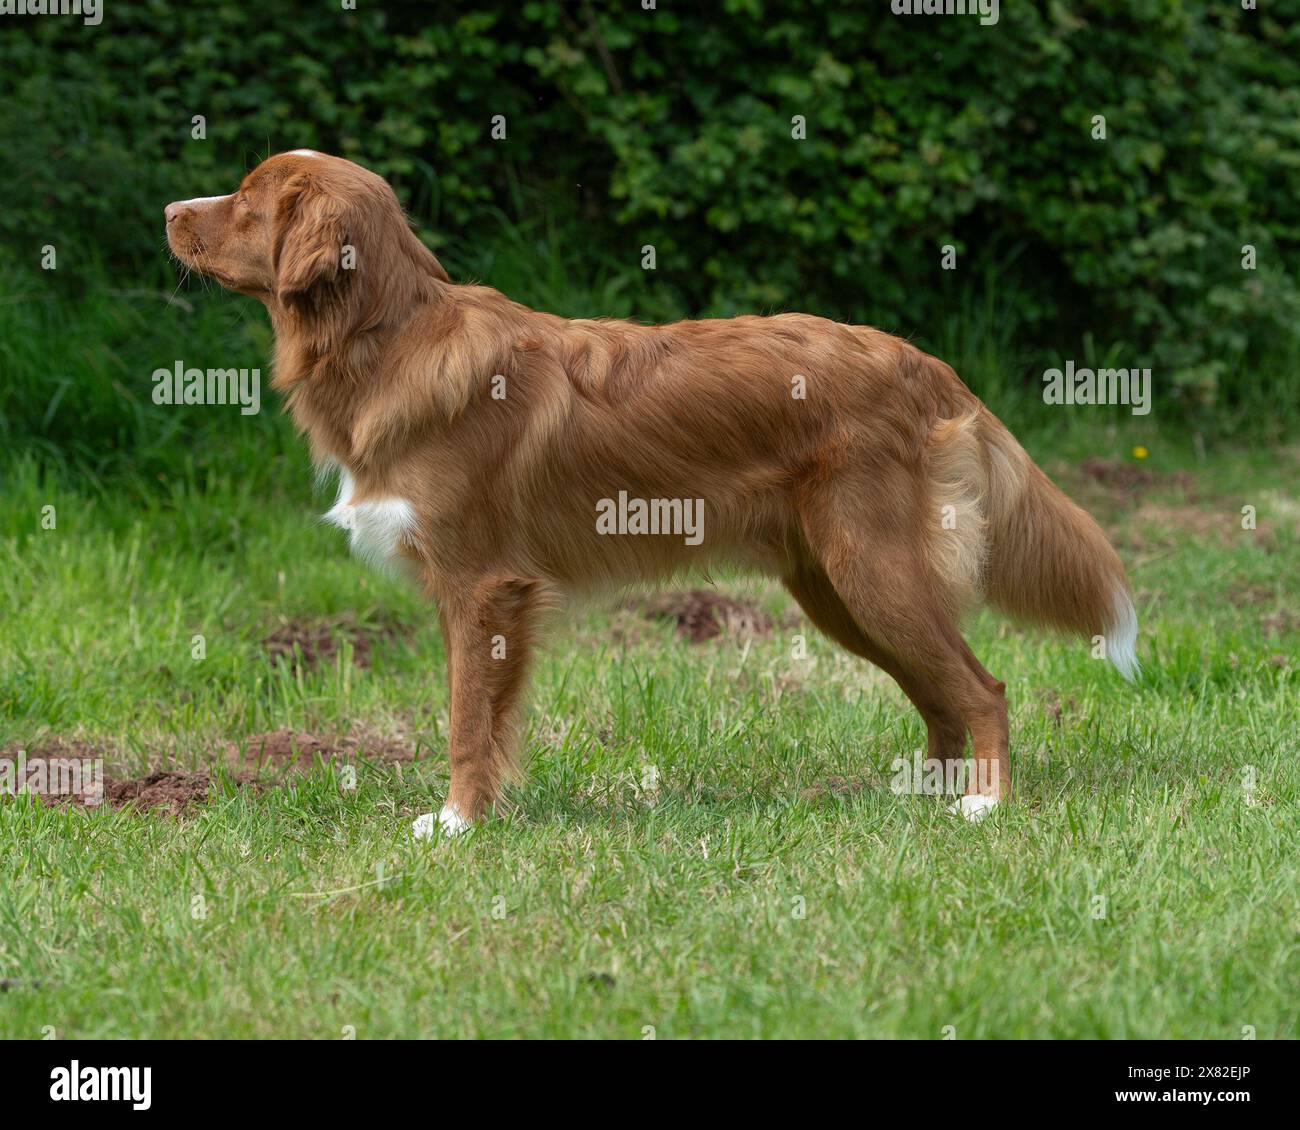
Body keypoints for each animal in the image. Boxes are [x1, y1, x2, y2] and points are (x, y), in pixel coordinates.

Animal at [165, 150, 1138, 832]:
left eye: (247, 199)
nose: (170, 210)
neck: (386, 336)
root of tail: (922, 361)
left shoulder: (481, 585)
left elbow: (465, 719)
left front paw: (457, 824)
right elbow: (488, 717)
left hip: (873, 571)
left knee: (982, 688)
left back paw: (984, 805)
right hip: (837, 591)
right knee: (939, 694)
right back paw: (921, 796)